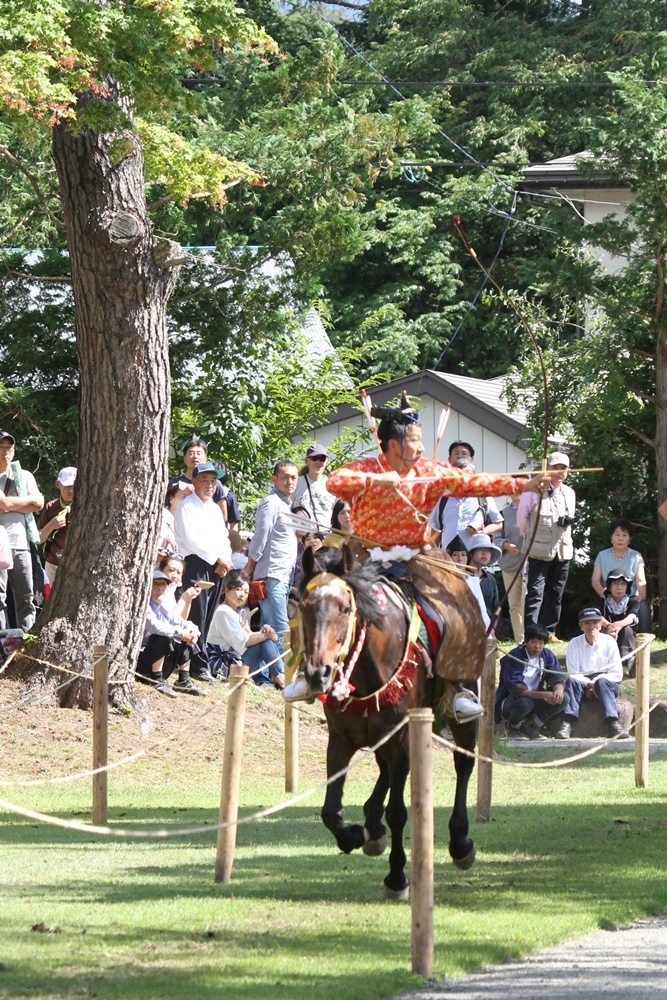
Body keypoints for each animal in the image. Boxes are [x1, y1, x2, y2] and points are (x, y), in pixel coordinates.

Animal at [298, 544, 480, 904]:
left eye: (344, 608)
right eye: (304, 607)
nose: (317, 673)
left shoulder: (402, 740)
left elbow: (398, 812)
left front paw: (397, 878)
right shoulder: (341, 740)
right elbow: (331, 811)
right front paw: (355, 834)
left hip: (461, 703)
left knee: (463, 764)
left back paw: (460, 841)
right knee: (383, 771)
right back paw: (372, 825)